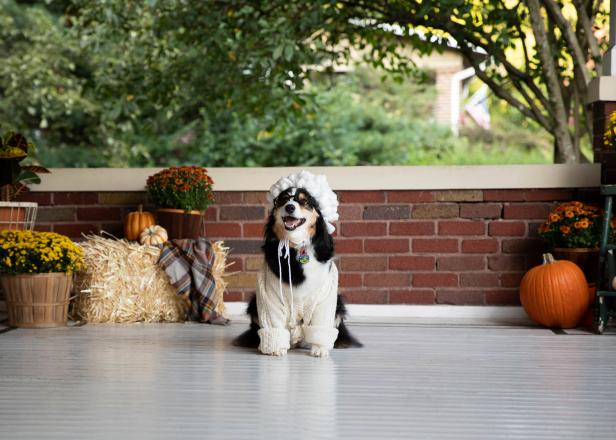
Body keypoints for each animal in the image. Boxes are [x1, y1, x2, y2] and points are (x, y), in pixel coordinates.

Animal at [235, 170, 360, 356]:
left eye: (305, 201)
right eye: (284, 199)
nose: (290, 207)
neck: (296, 245)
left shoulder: (325, 299)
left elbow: (321, 326)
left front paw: (319, 349)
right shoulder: (269, 297)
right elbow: (274, 325)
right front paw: (276, 349)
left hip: (338, 304)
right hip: (253, 304)